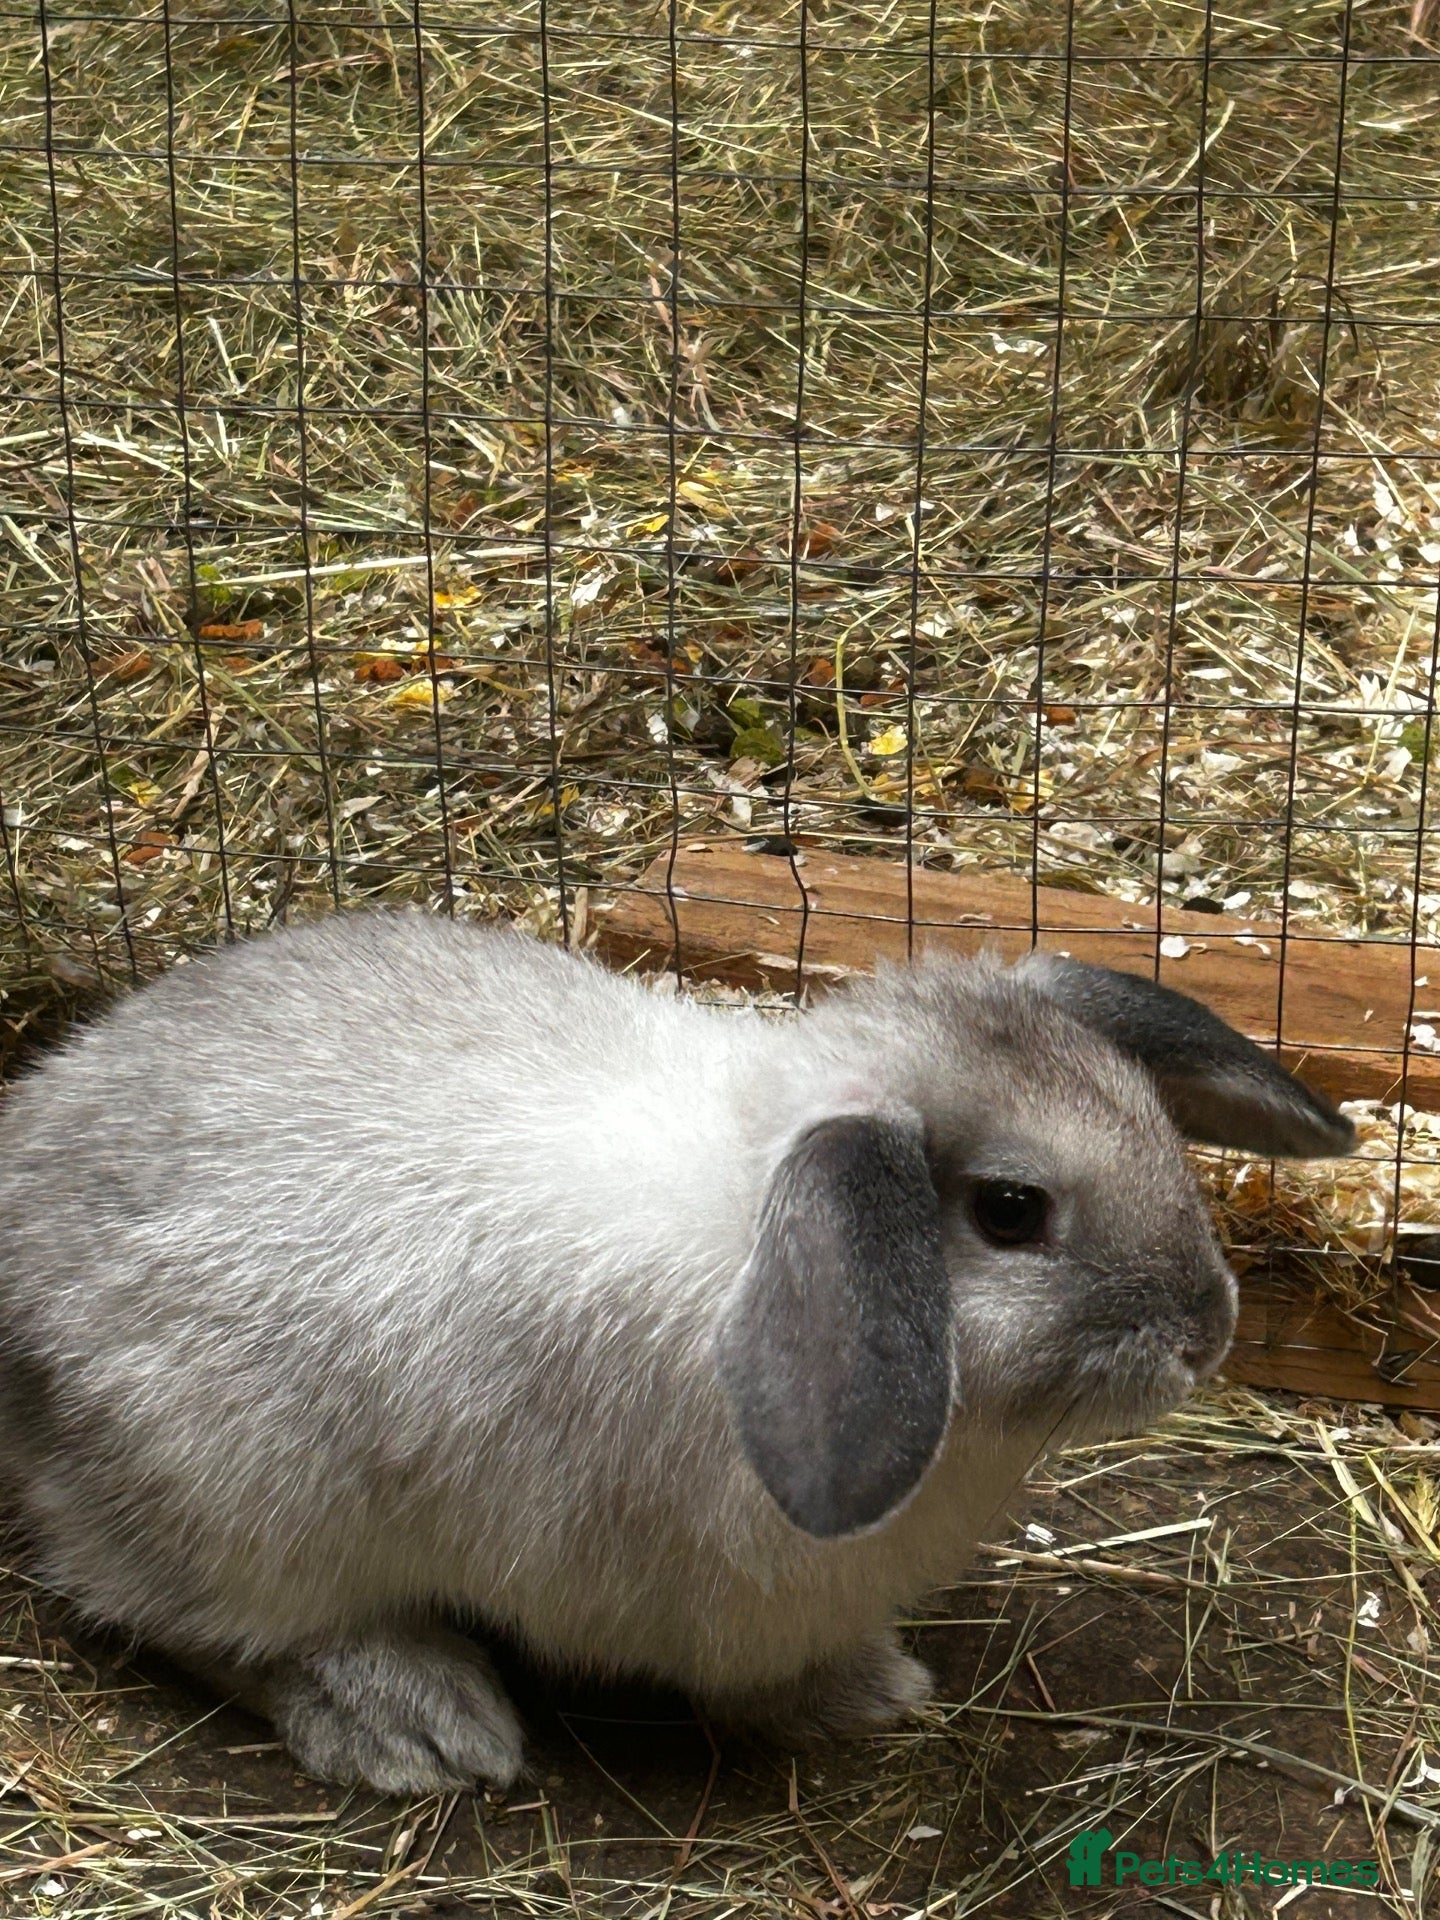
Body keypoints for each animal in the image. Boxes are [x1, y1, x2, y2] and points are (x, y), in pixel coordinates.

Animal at [0, 911, 1352, 1796]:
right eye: (1013, 1212)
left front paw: (870, 1693)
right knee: (205, 1621)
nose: (1209, 1332)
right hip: (242, 1501)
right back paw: (417, 1725)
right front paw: (855, 1701)